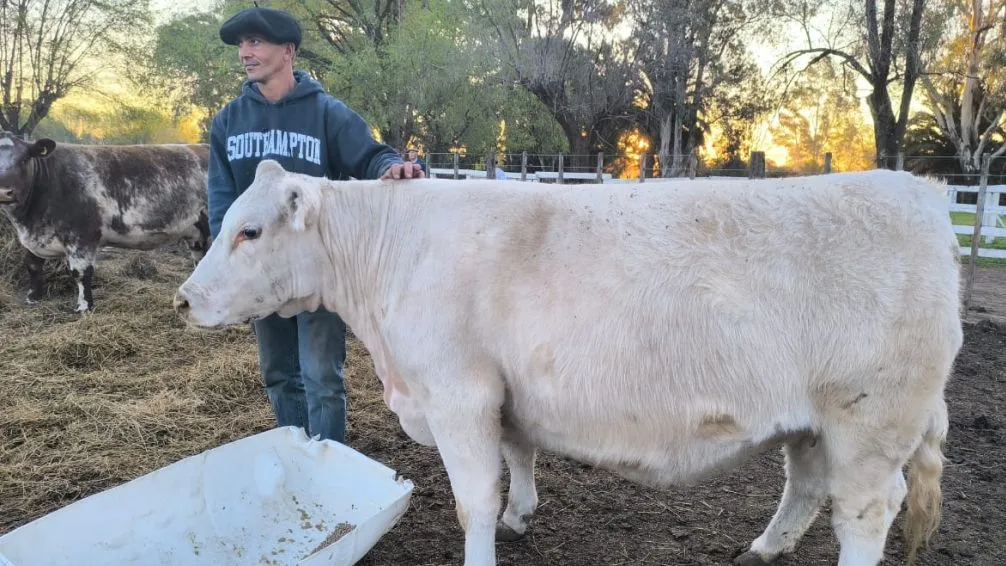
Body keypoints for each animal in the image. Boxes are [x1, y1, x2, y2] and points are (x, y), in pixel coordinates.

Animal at [0, 131, 209, 311]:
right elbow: (32, 265)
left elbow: (80, 273)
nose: (4, 192)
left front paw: (84, 307)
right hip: (197, 233)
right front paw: (33, 298)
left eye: (25, 159)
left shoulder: (82, 235)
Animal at [177, 158, 961, 566]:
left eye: (250, 231)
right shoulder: (502, 393)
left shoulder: (457, 394)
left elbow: (471, 500)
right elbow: (518, 456)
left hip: (872, 420)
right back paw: (763, 548)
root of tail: (919, 190)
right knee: (806, 484)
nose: (185, 300)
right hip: (812, 419)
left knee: (865, 510)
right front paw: (521, 514)